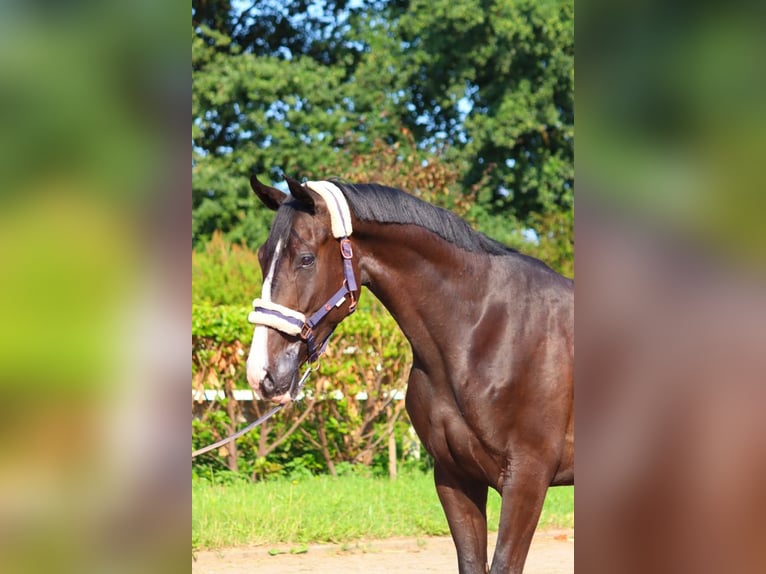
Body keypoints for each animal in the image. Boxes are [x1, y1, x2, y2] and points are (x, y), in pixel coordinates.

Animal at [246, 177, 576, 574]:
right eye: (262, 257)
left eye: (306, 258)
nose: (262, 373)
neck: (485, 331)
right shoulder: (454, 477)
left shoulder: (527, 480)